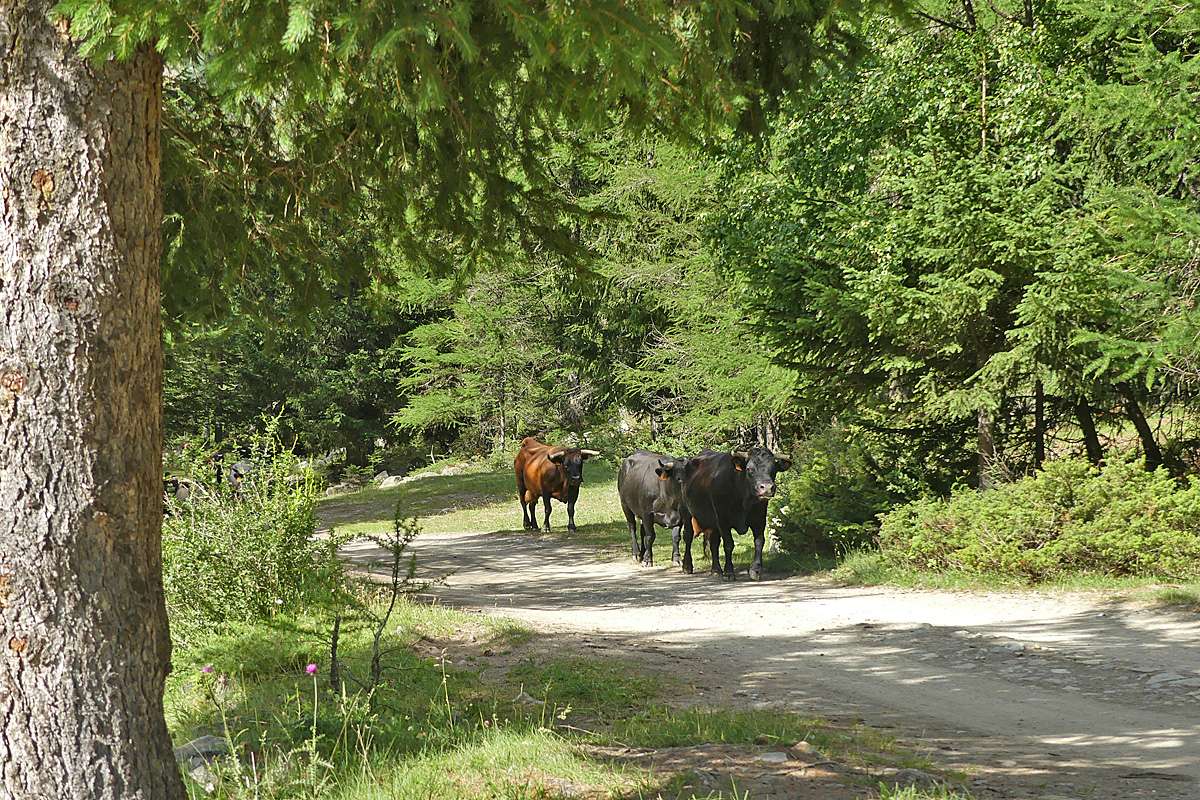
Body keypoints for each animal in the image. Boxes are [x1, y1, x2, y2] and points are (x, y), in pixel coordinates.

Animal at [681, 443, 792, 582]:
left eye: (774, 469)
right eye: (749, 469)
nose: (766, 488)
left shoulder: (759, 519)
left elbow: (759, 542)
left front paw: (756, 570)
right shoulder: (723, 519)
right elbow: (729, 544)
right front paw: (729, 572)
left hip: (712, 521)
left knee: (713, 543)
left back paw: (716, 570)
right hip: (687, 512)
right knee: (688, 537)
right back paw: (687, 566)